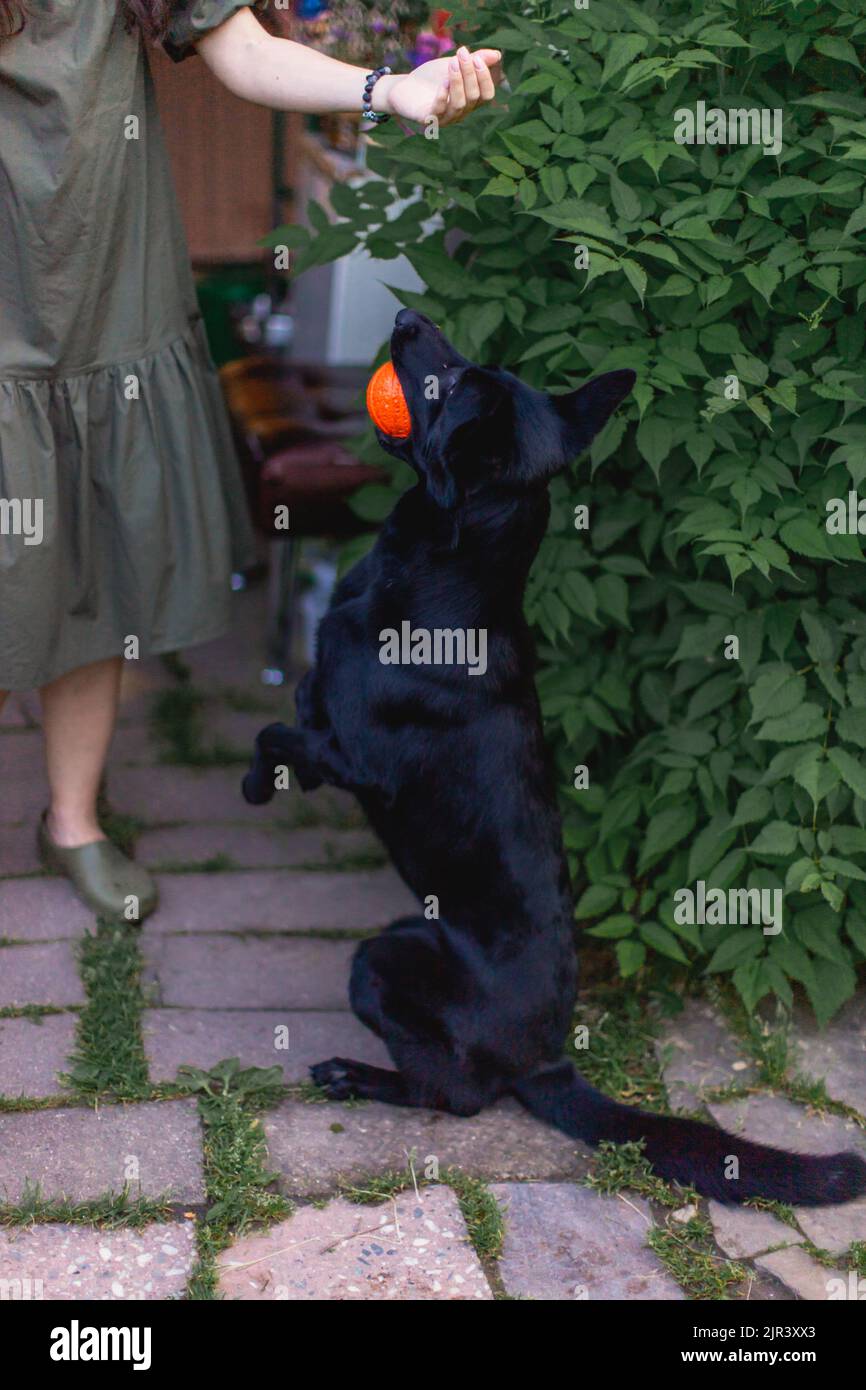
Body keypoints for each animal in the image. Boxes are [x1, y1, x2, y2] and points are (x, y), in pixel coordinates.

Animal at [244, 307, 866, 1206]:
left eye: (453, 382)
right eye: (468, 364)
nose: (406, 316)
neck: (448, 580)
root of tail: (548, 1062)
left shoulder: (353, 756)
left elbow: (276, 732)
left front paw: (256, 784)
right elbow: (292, 705)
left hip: (385, 956)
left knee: (457, 1095)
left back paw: (359, 1077)